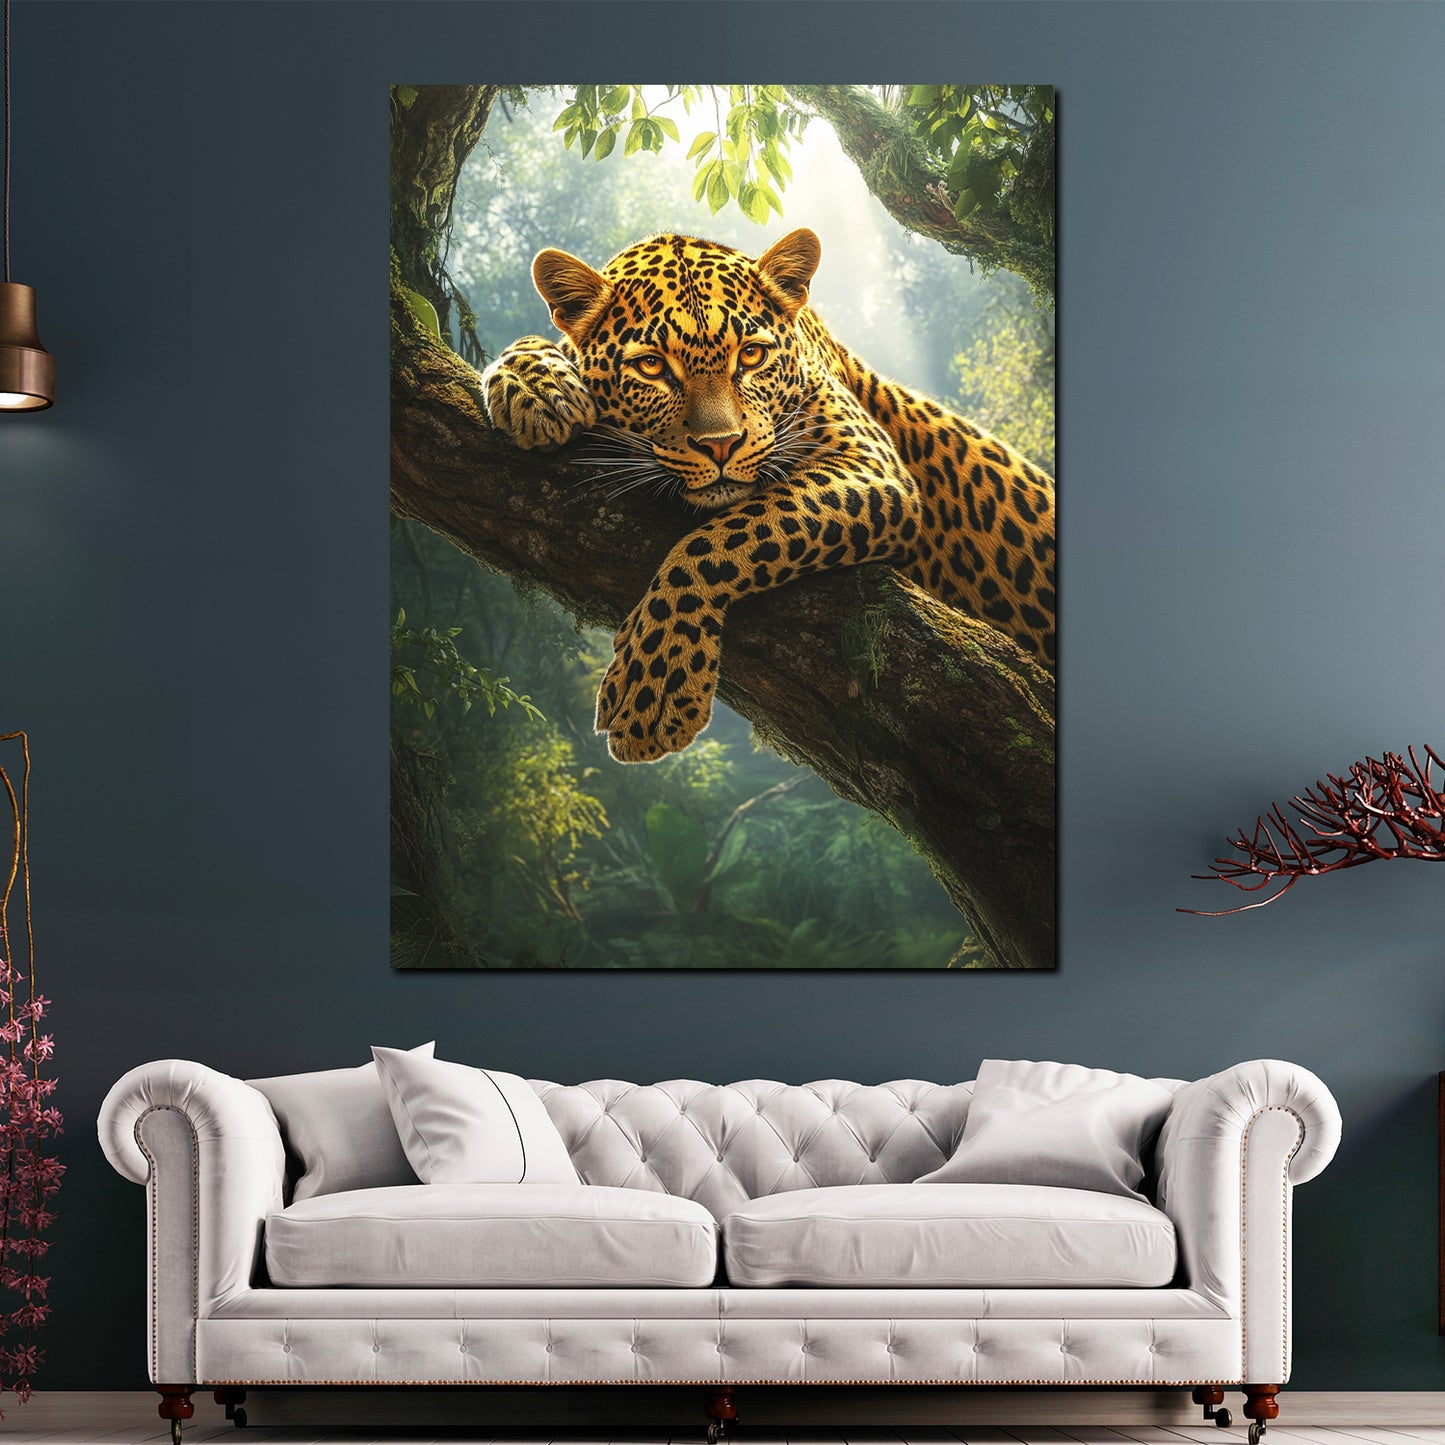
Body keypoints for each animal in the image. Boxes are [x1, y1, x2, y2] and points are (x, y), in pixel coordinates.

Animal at [481, 226, 1055, 764]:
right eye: (651, 367)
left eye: (752, 356)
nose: (720, 444)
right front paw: (535, 387)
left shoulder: (873, 467)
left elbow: (719, 541)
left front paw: (657, 683)